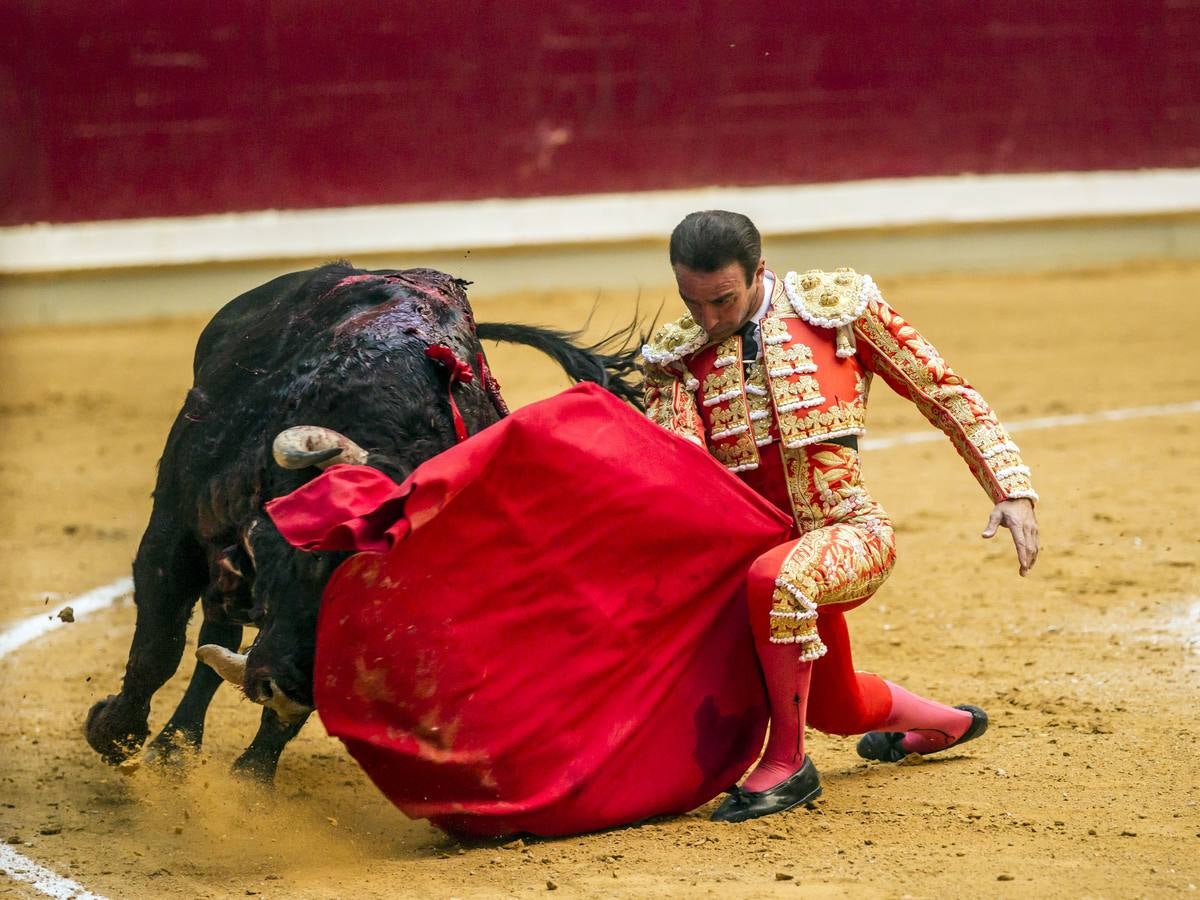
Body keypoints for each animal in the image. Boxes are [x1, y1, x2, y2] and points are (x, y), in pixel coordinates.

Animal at [85, 262, 643, 782]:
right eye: (315, 565)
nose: (282, 688)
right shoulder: (172, 530)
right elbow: (159, 646)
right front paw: (111, 734)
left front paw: (249, 783)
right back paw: (167, 749)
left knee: (218, 635)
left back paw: (176, 750)